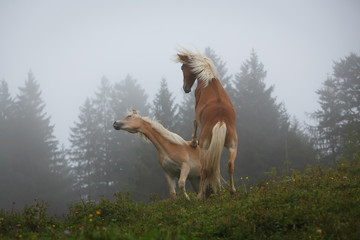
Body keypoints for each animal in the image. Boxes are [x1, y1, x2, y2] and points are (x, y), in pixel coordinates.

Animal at [176, 47, 238, 200]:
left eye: (182, 67)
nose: (185, 88)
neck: (208, 82)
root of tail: (221, 121)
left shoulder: (196, 109)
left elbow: (194, 123)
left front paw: (193, 142)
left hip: (204, 148)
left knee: (204, 170)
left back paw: (200, 196)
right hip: (233, 146)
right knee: (230, 165)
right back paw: (232, 191)